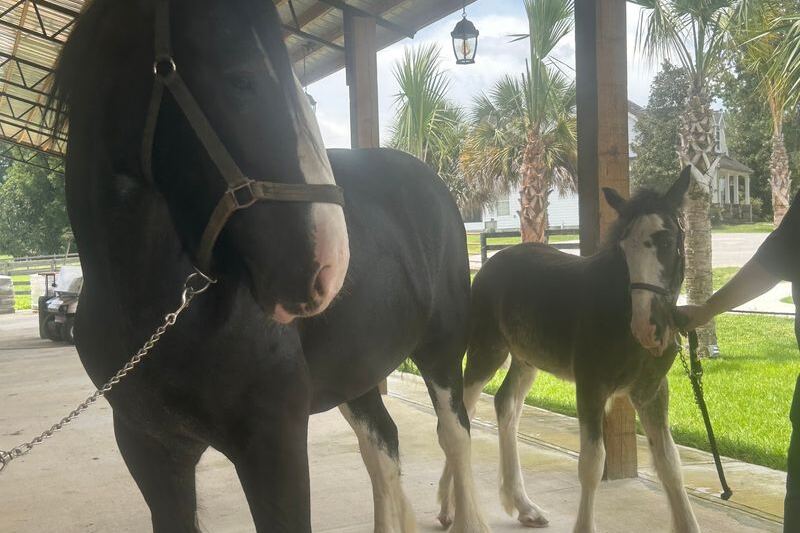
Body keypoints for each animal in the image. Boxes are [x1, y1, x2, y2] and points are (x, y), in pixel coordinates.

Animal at [52, 0, 487, 531]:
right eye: (240, 79)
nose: (327, 266)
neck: (158, 315)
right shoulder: (149, 449)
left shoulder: (274, 444)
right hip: (357, 373)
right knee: (382, 446)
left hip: (442, 352)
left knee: (455, 436)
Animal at [437, 169, 700, 533]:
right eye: (624, 248)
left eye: (668, 240)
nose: (648, 327)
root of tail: (491, 262)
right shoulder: (591, 385)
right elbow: (592, 464)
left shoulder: (651, 390)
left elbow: (670, 464)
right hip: (486, 351)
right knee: (465, 409)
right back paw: (448, 507)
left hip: (526, 359)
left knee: (506, 404)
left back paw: (524, 506)